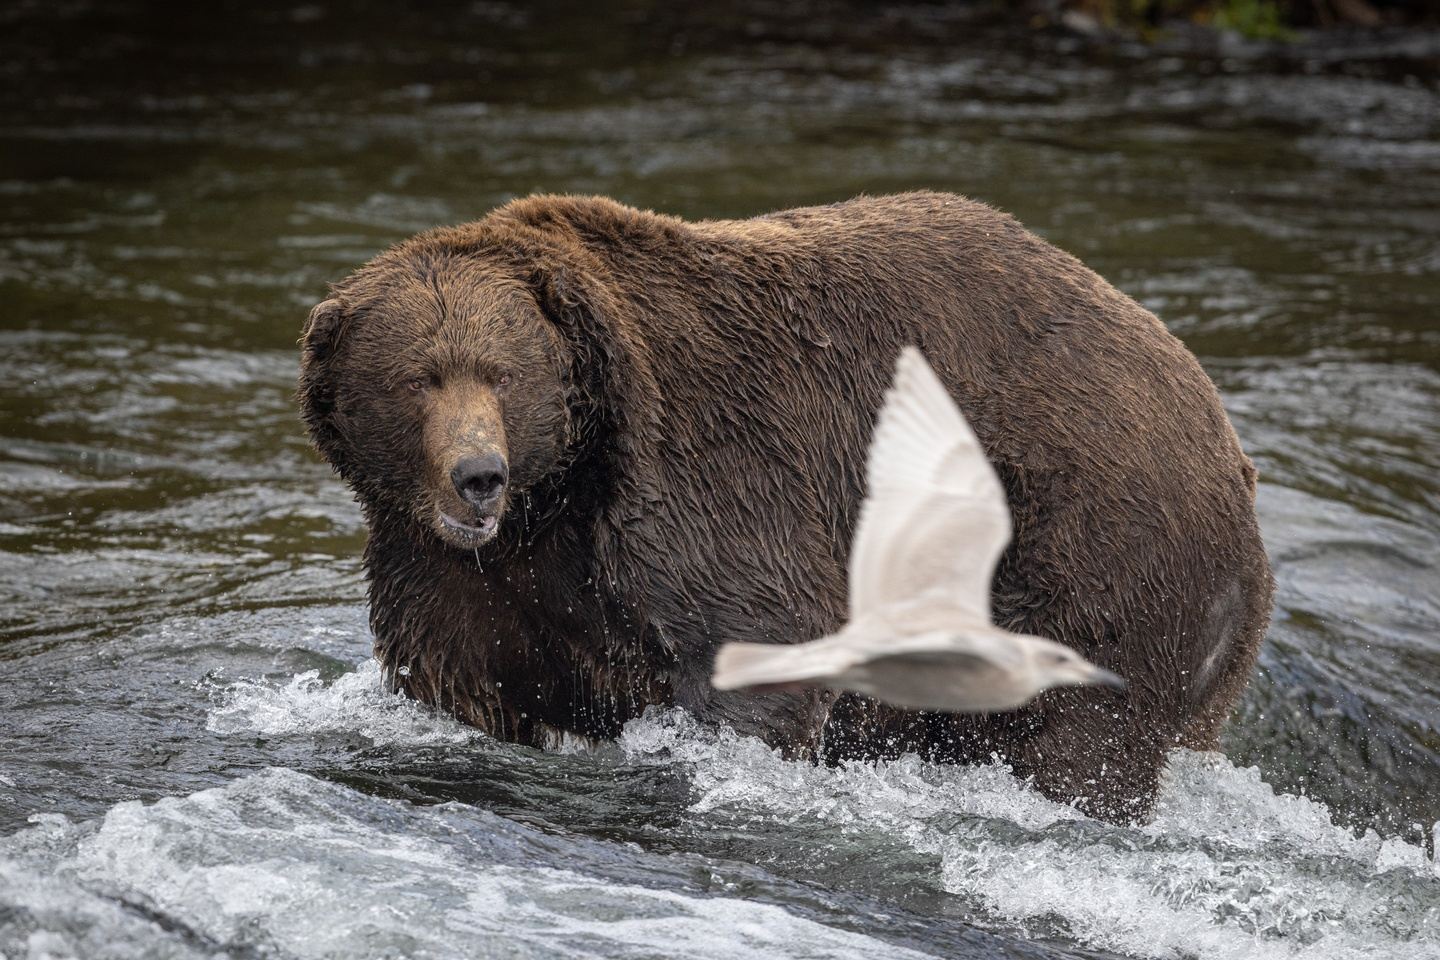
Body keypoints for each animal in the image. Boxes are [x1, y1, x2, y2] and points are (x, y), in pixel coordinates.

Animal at [298, 191, 1267, 823]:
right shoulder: (460, 568)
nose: (478, 475)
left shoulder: (705, 472)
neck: (564, 489)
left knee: (1080, 738)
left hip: (1100, 547)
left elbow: (760, 641)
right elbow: (462, 677)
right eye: (417, 378)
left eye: (499, 373)